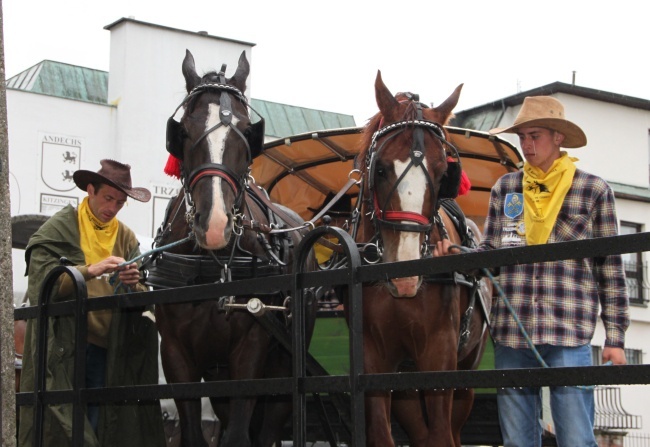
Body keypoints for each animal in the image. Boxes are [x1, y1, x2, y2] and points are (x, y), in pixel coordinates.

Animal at [149, 50, 316, 447]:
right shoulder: (175, 353)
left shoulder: (250, 348)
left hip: (284, 359)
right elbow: (193, 433)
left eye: (245, 132)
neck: (214, 267)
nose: (214, 225)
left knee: (269, 426)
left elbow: (240, 434)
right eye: (184, 131)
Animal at [344, 72, 492, 446]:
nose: (405, 275)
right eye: (381, 169)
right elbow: (383, 434)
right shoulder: (373, 362)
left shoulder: (439, 357)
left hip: (466, 372)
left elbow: (441, 435)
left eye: (443, 174)